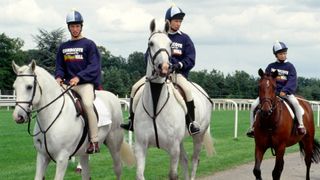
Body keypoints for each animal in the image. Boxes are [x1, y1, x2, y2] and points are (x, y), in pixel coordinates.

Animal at [134, 18, 214, 180]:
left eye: (170, 44)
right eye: (151, 43)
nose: (164, 67)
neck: (155, 106)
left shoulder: (173, 148)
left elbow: (173, 174)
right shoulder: (140, 146)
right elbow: (139, 174)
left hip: (198, 137)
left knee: (194, 160)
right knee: (185, 160)